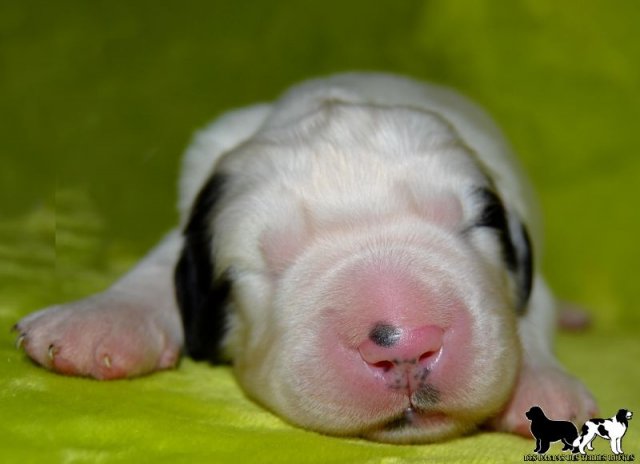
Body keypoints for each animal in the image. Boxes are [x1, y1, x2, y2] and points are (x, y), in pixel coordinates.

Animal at [14, 73, 597, 443]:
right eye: (264, 263)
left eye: (475, 224)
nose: (404, 346)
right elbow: (161, 266)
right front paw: (97, 323)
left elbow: (531, 307)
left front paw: (542, 383)